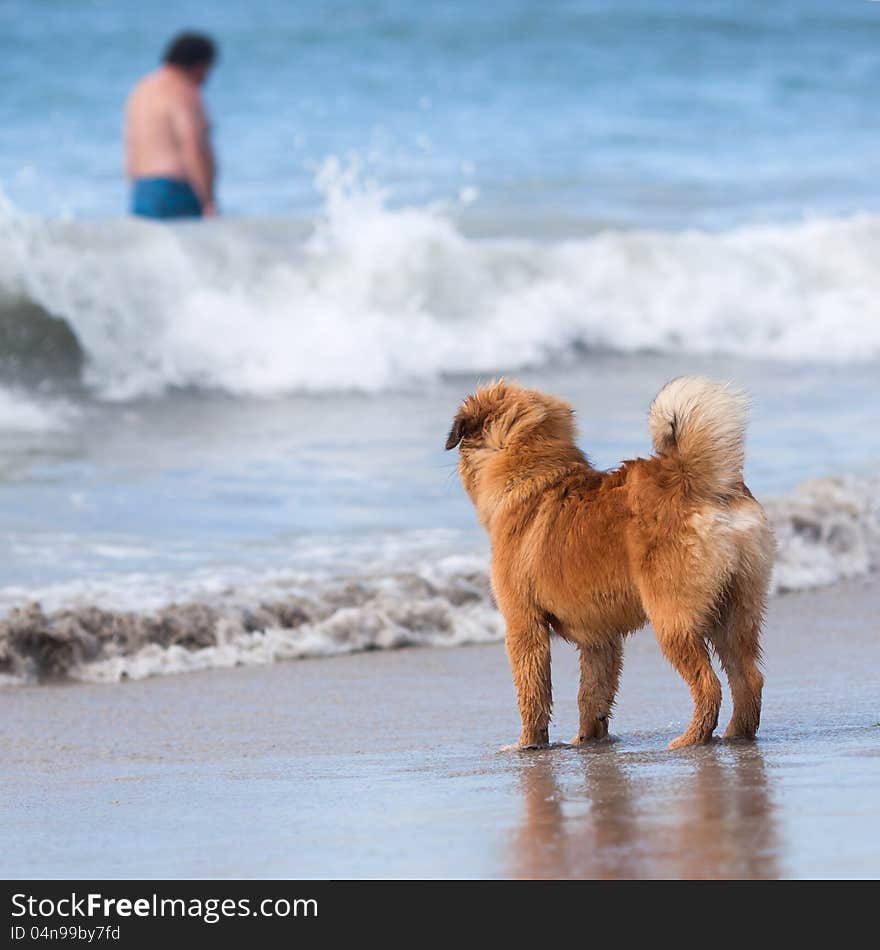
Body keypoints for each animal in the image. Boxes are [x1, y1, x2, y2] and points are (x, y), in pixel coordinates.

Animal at [446, 378, 768, 752]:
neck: (532, 476)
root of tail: (693, 478)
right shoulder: (599, 638)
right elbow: (593, 693)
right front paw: (589, 739)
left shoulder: (523, 625)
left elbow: (533, 693)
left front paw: (528, 743)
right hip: (736, 613)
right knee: (748, 678)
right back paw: (736, 734)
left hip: (673, 621)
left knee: (708, 685)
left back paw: (691, 738)